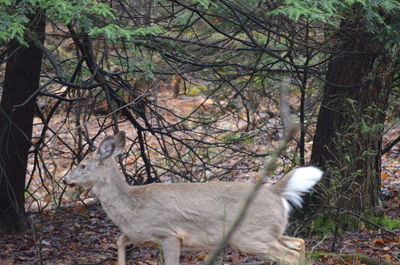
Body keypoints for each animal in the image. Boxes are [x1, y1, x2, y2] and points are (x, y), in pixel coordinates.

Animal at [64, 130, 324, 264]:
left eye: (83, 165)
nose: (66, 180)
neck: (131, 206)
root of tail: (274, 191)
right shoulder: (140, 234)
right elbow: (119, 240)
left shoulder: (168, 234)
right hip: (267, 232)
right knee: (299, 243)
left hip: (251, 236)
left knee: (290, 255)